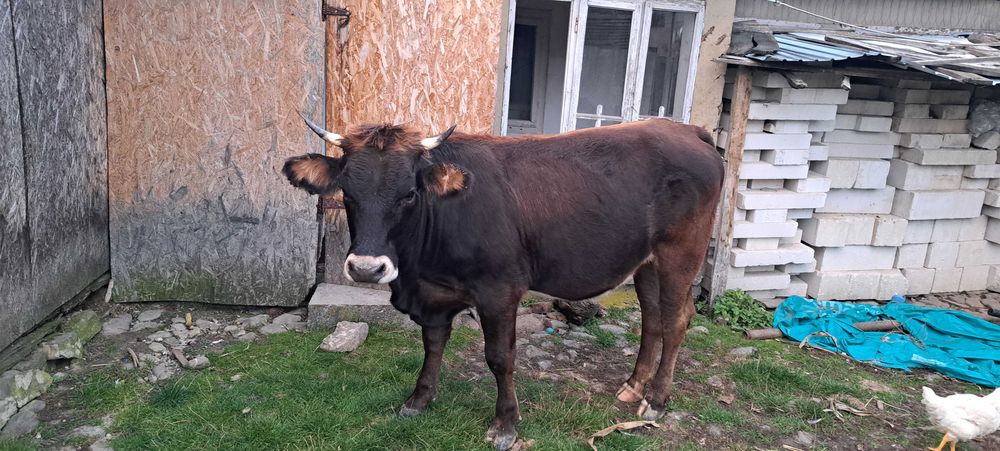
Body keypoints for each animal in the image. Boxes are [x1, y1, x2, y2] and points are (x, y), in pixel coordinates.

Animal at [283, 116, 724, 449]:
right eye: (347, 192)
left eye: (408, 193)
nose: (366, 268)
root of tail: (686, 129)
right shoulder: (435, 294)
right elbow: (432, 345)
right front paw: (418, 399)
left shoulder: (500, 291)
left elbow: (499, 357)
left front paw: (505, 425)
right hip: (645, 261)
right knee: (652, 318)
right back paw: (633, 386)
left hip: (680, 253)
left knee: (676, 320)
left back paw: (657, 400)